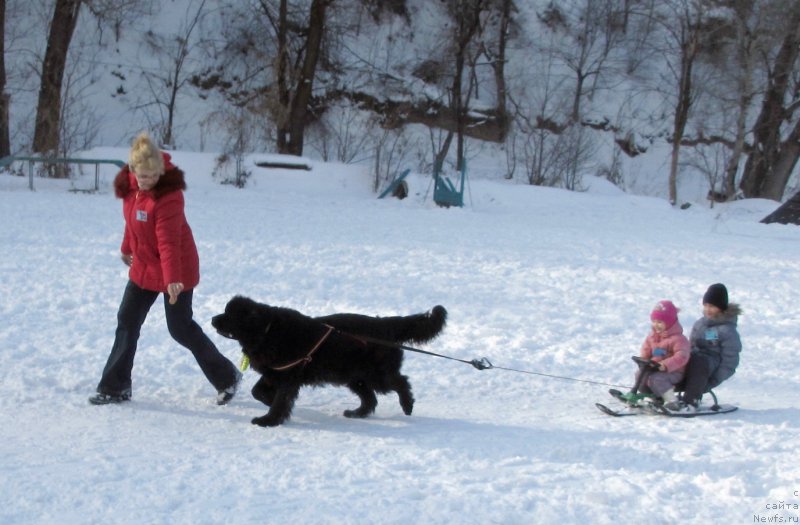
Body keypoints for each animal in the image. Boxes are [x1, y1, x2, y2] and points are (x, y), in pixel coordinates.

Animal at [212, 294, 446, 426]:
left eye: (229, 314)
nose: (213, 319)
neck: (266, 330)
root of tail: (385, 324)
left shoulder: (287, 377)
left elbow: (280, 400)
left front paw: (269, 420)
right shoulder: (275, 372)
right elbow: (257, 392)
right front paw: (269, 403)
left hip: (376, 374)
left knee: (401, 382)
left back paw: (407, 405)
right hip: (354, 377)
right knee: (370, 399)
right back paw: (356, 413)